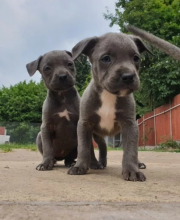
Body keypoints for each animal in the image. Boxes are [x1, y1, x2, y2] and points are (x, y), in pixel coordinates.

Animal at [68, 32, 152, 180]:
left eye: (136, 58)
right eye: (106, 58)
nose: (128, 76)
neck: (109, 95)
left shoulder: (129, 125)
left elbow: (131, 149)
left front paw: (132, 170)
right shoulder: (85, 124)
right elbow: (84, 147)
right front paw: (79, 166)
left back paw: (137, 164)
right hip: (96, 134)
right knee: (100, 146)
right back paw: (97, 163)